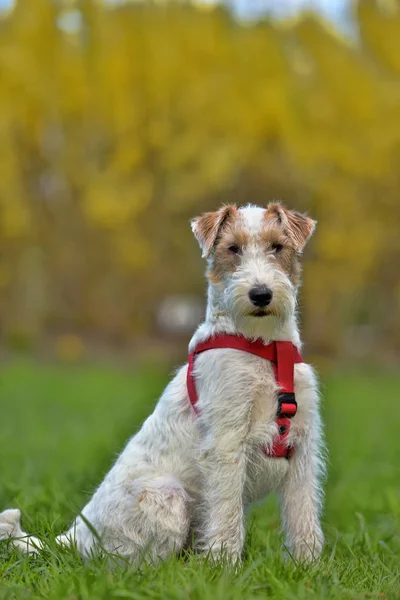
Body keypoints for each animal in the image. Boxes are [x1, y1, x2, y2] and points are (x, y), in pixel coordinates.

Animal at [0, 204, 324, 564]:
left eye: (277, 246)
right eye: (233, 248)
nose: (261, 294)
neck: (266, 347)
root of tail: (73, 536)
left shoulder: (303, 444)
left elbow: (303, 516)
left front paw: (308, 566)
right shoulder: (227, 442)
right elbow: (227, 517)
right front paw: (225, 566)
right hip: (168, 497)